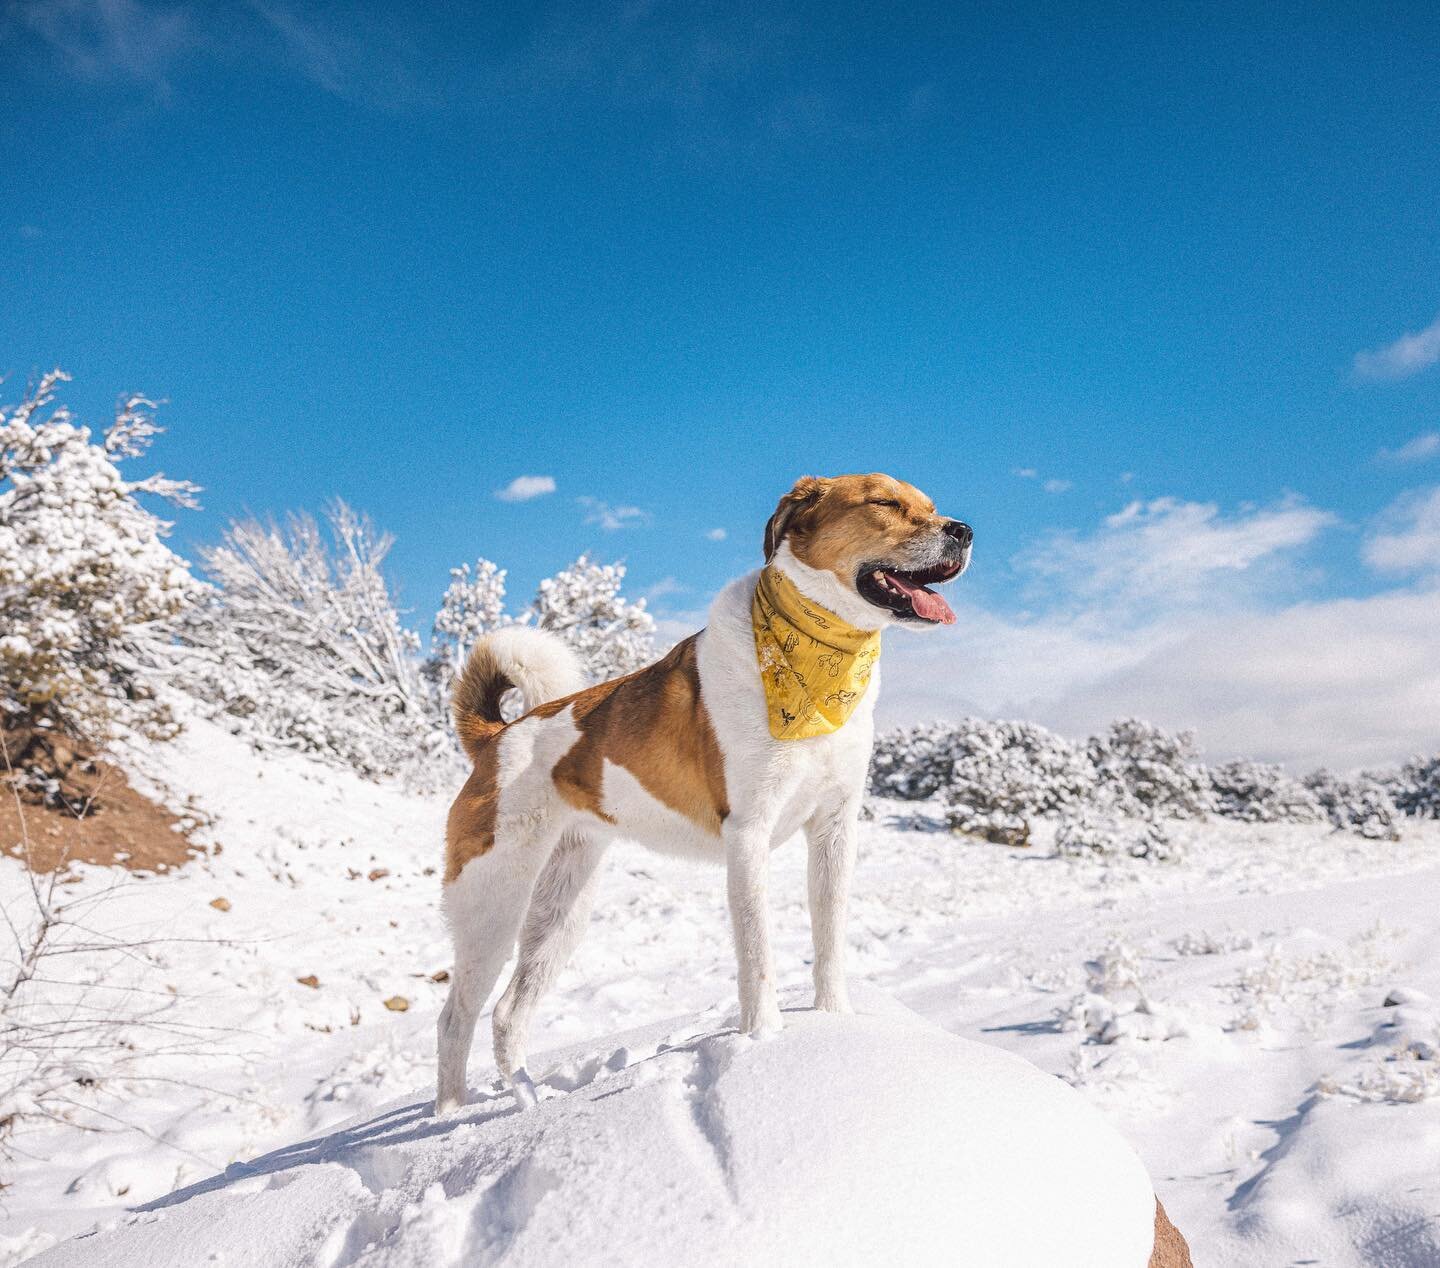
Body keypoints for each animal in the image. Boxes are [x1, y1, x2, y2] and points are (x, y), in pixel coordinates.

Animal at [426, 472, 967, 1105]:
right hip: (494, 902)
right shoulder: (748, 835)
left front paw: (835, 1024)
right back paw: (452, 1117)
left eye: (931, 506)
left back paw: (532, 1106)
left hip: (561, 911)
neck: (820, 657)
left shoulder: (835, 828)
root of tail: (497, 737)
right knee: (455, 1019)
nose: (963, 531)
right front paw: (764, 1042)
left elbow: (829, 939)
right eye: (884, 503)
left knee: (509, 1012)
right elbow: (757, 954)